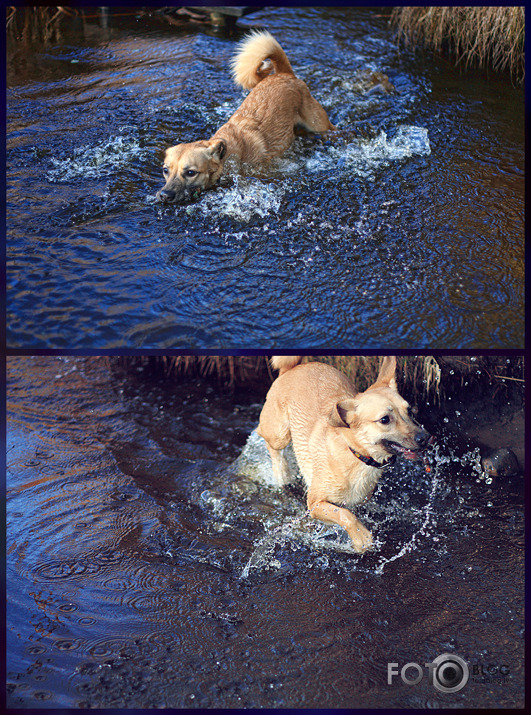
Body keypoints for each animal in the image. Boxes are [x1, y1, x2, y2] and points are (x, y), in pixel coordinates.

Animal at [156, 31, 334, 203]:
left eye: (191, 173)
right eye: (165, 170)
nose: (164, 195)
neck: (227, 154)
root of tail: (284, 74)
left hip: (319, 124)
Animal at [258, 358, 432, 552]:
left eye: (409, 411)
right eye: (385, 419)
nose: (425, 438)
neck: (356, 454)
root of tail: (291, 369)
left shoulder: (359, 500)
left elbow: (349, 511)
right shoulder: (315, 503)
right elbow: (345, 515)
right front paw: (361, 538)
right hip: (279, 435)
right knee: (267, 441)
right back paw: (282, 473)